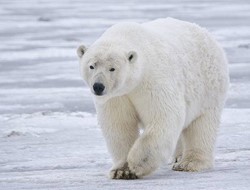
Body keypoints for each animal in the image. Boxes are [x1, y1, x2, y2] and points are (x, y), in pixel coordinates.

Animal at [77, 17, 229, 180]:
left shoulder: (152, 80)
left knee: (201, 126)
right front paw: (121, 170)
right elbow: (120, 125)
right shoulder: (117, 97)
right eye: (91, 66)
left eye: (112, 68)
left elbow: (164, 116)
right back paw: (178, 157)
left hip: (209, 88)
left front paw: (137, 164)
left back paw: (189, 163)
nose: (98, 86)